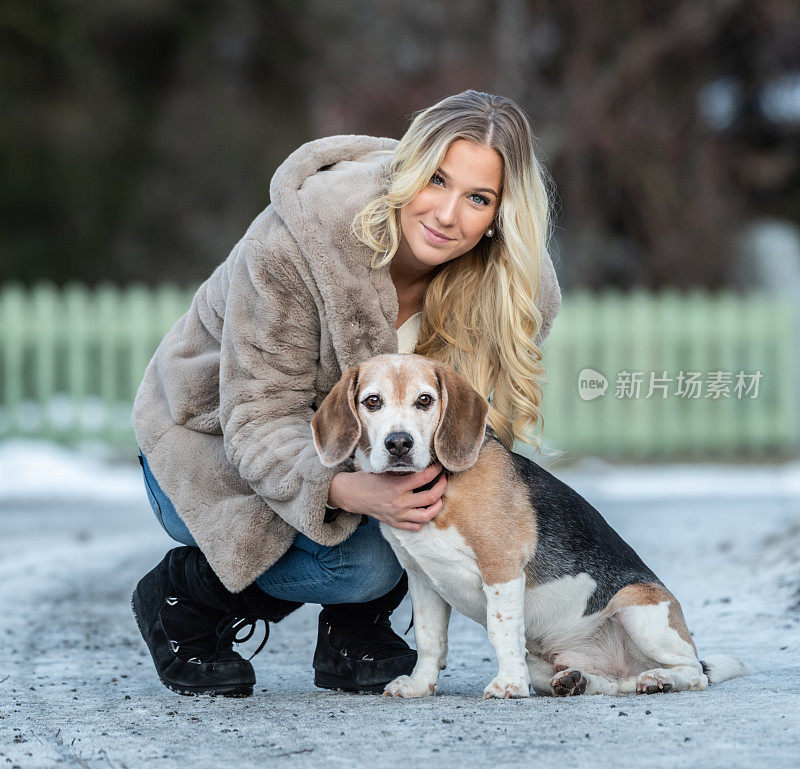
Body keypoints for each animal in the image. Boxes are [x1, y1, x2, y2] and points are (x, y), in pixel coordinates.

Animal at [310, 352, 744, 696]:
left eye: (425, 400)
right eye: (372, 401)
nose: (398, 443)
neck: (443, 483)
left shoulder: (501, 568)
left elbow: (501, 632)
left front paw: (508, 686)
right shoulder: (422, 580)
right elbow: (430, 640)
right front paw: (419, 686)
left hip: (637, 607)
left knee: (693, 672)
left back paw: (660, 679)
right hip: (554, 663)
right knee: (613, 685)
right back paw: (577, 681)